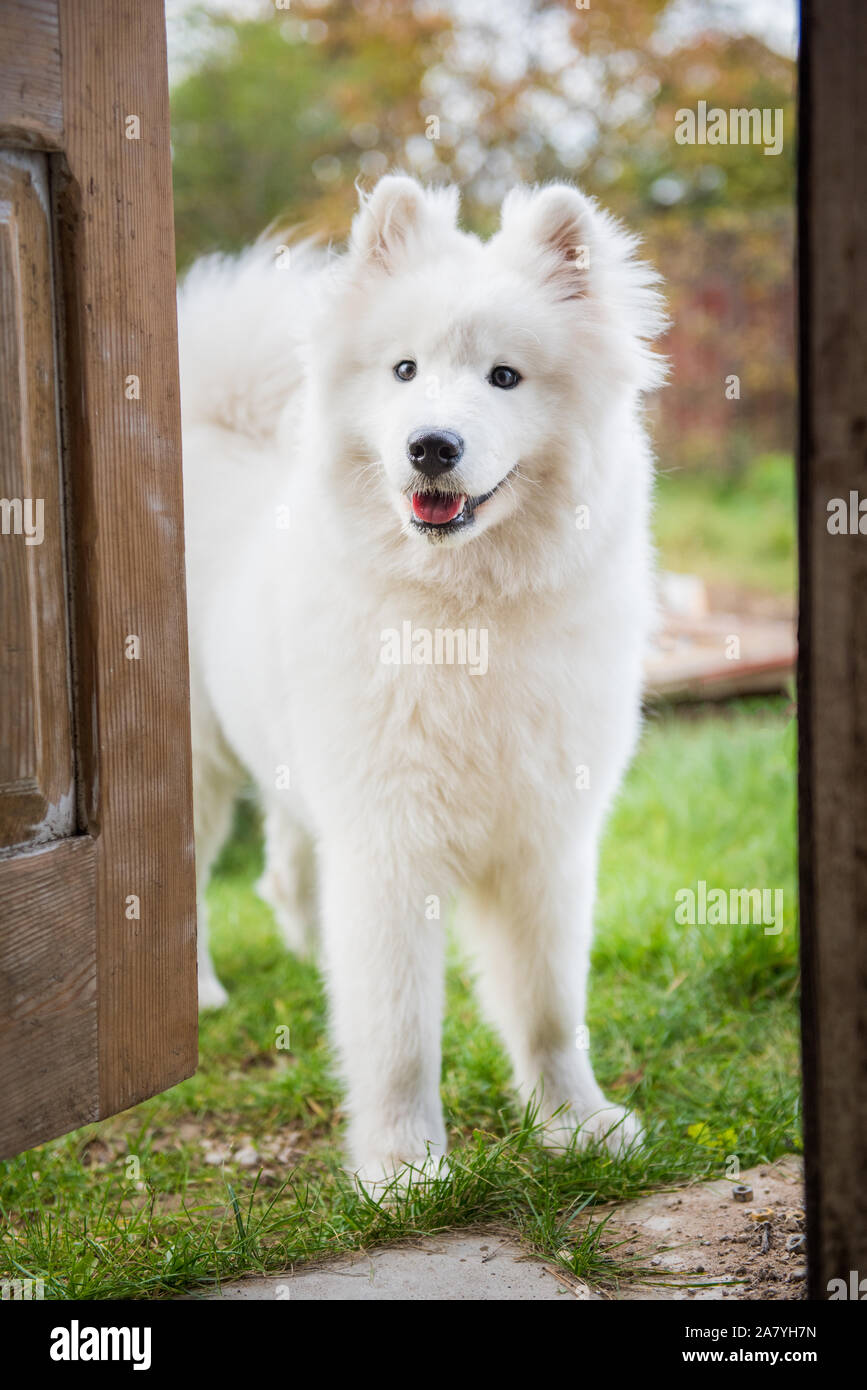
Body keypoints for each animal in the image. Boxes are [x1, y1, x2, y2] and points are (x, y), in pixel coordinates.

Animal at [179, 176, 666, 1184]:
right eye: (403, 371)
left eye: (504, 378)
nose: (430, 446)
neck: (463, 618)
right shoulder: (391, 849)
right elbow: (400, 1035)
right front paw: (402, 1172)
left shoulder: (545, 843)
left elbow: (548, 1009)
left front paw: (576, 1124)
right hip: (199, 766)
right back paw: (202, 992)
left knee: (286, 868)